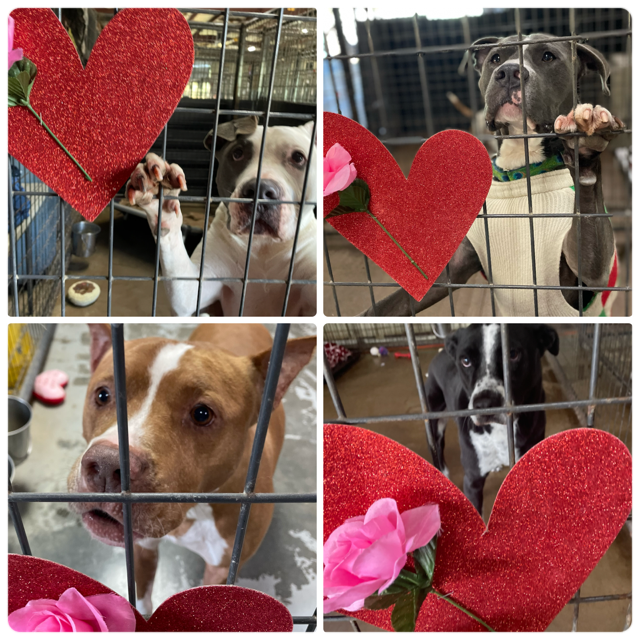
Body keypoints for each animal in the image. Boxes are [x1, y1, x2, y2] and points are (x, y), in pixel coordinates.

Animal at [67, 324, 316, 616]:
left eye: (202, 414)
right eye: (103, 395)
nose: (107, 466)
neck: (192, 512)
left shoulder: (222, 570)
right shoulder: (141, 549)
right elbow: (142, 599)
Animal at [125, 117, 316, 318]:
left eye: (298, 158)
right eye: (237, 154)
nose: (260, 190)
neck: (262, 245)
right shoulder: (193, 288)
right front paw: (160, 193)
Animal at [368, 32, 624, 318]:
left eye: (548, 56)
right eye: (496, 58)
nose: (509, 72)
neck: (520, 165)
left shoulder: (589, 277)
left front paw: (585, 143)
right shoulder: (451, 270)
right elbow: (384, 307)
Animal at [428, 324, 556, 516]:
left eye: (512, 354)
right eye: (465, 360)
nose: (484, 404)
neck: (500, 431)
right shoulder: (472, 481)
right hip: (434, 421)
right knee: (437, 445)